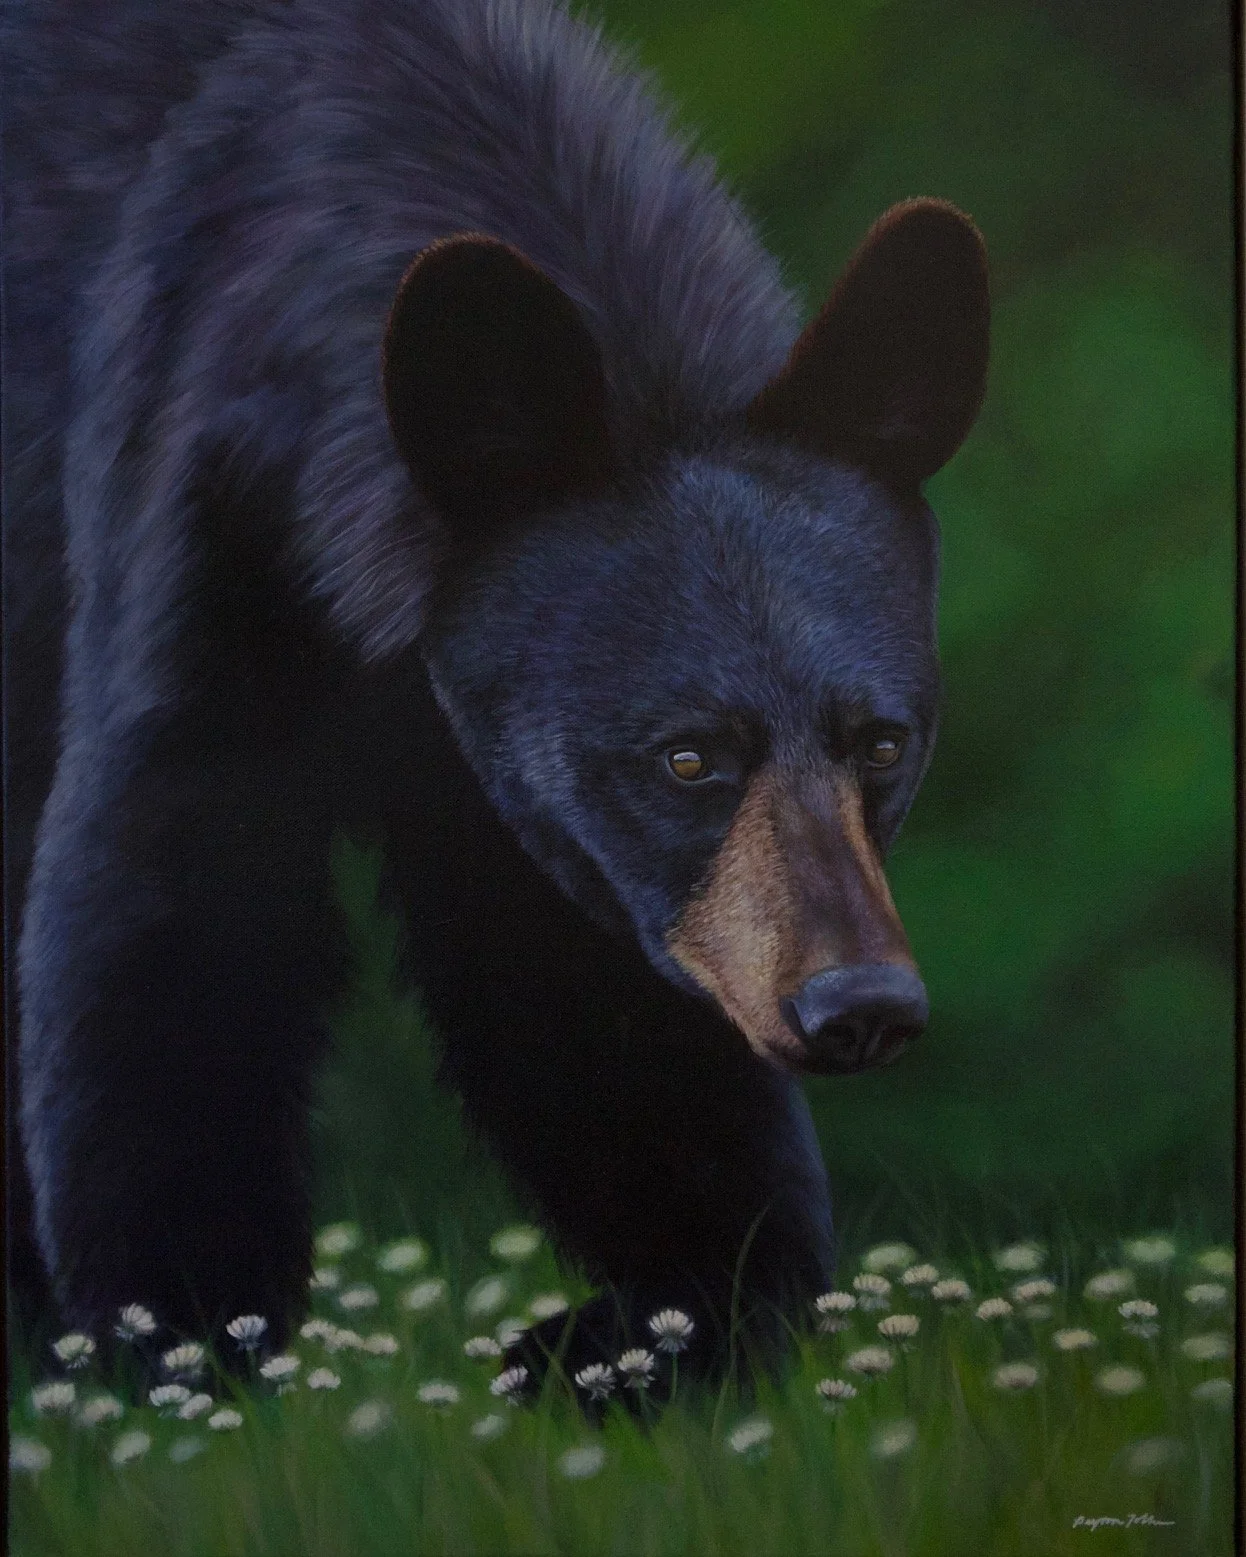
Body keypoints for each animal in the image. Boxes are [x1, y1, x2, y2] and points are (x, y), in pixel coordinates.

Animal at [5, 0, 989, 1383]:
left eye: (883, 743)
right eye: (687, 756)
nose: (859, 1007)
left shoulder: (519, 797)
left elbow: (588, 998)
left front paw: (670, 1323)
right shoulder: (200, 505)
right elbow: (163, 905)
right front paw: (177, 1337)